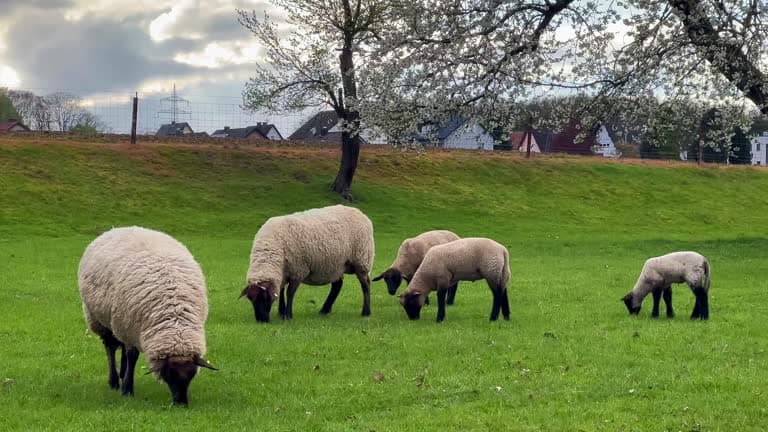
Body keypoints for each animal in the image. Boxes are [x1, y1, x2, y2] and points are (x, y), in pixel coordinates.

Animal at [78, 226, 217, 406]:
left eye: (192, 375)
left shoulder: (131, 330)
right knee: (110, 348)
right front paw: (127, 390)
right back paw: (114, 381)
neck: (175, 316)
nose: (181, 403)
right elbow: (132, 356)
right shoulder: (129, 326)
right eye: (169, 374)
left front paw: (126, 382)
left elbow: (129, 355)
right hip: (101, 320)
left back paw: (122, 374)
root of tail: (120, 228)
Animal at [241, 204, 375, 322]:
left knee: (365, 285)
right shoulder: (283, 272)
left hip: (361, 260)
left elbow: (289, 293)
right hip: (337, 265)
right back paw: (324, 310)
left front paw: (288, 315)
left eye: (265, 298)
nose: (261, 320)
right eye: (251, 299)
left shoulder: (298, 271)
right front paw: (281, 312)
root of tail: (360, 213)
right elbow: (281, 291)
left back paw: (366, 312)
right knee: (337, 285)